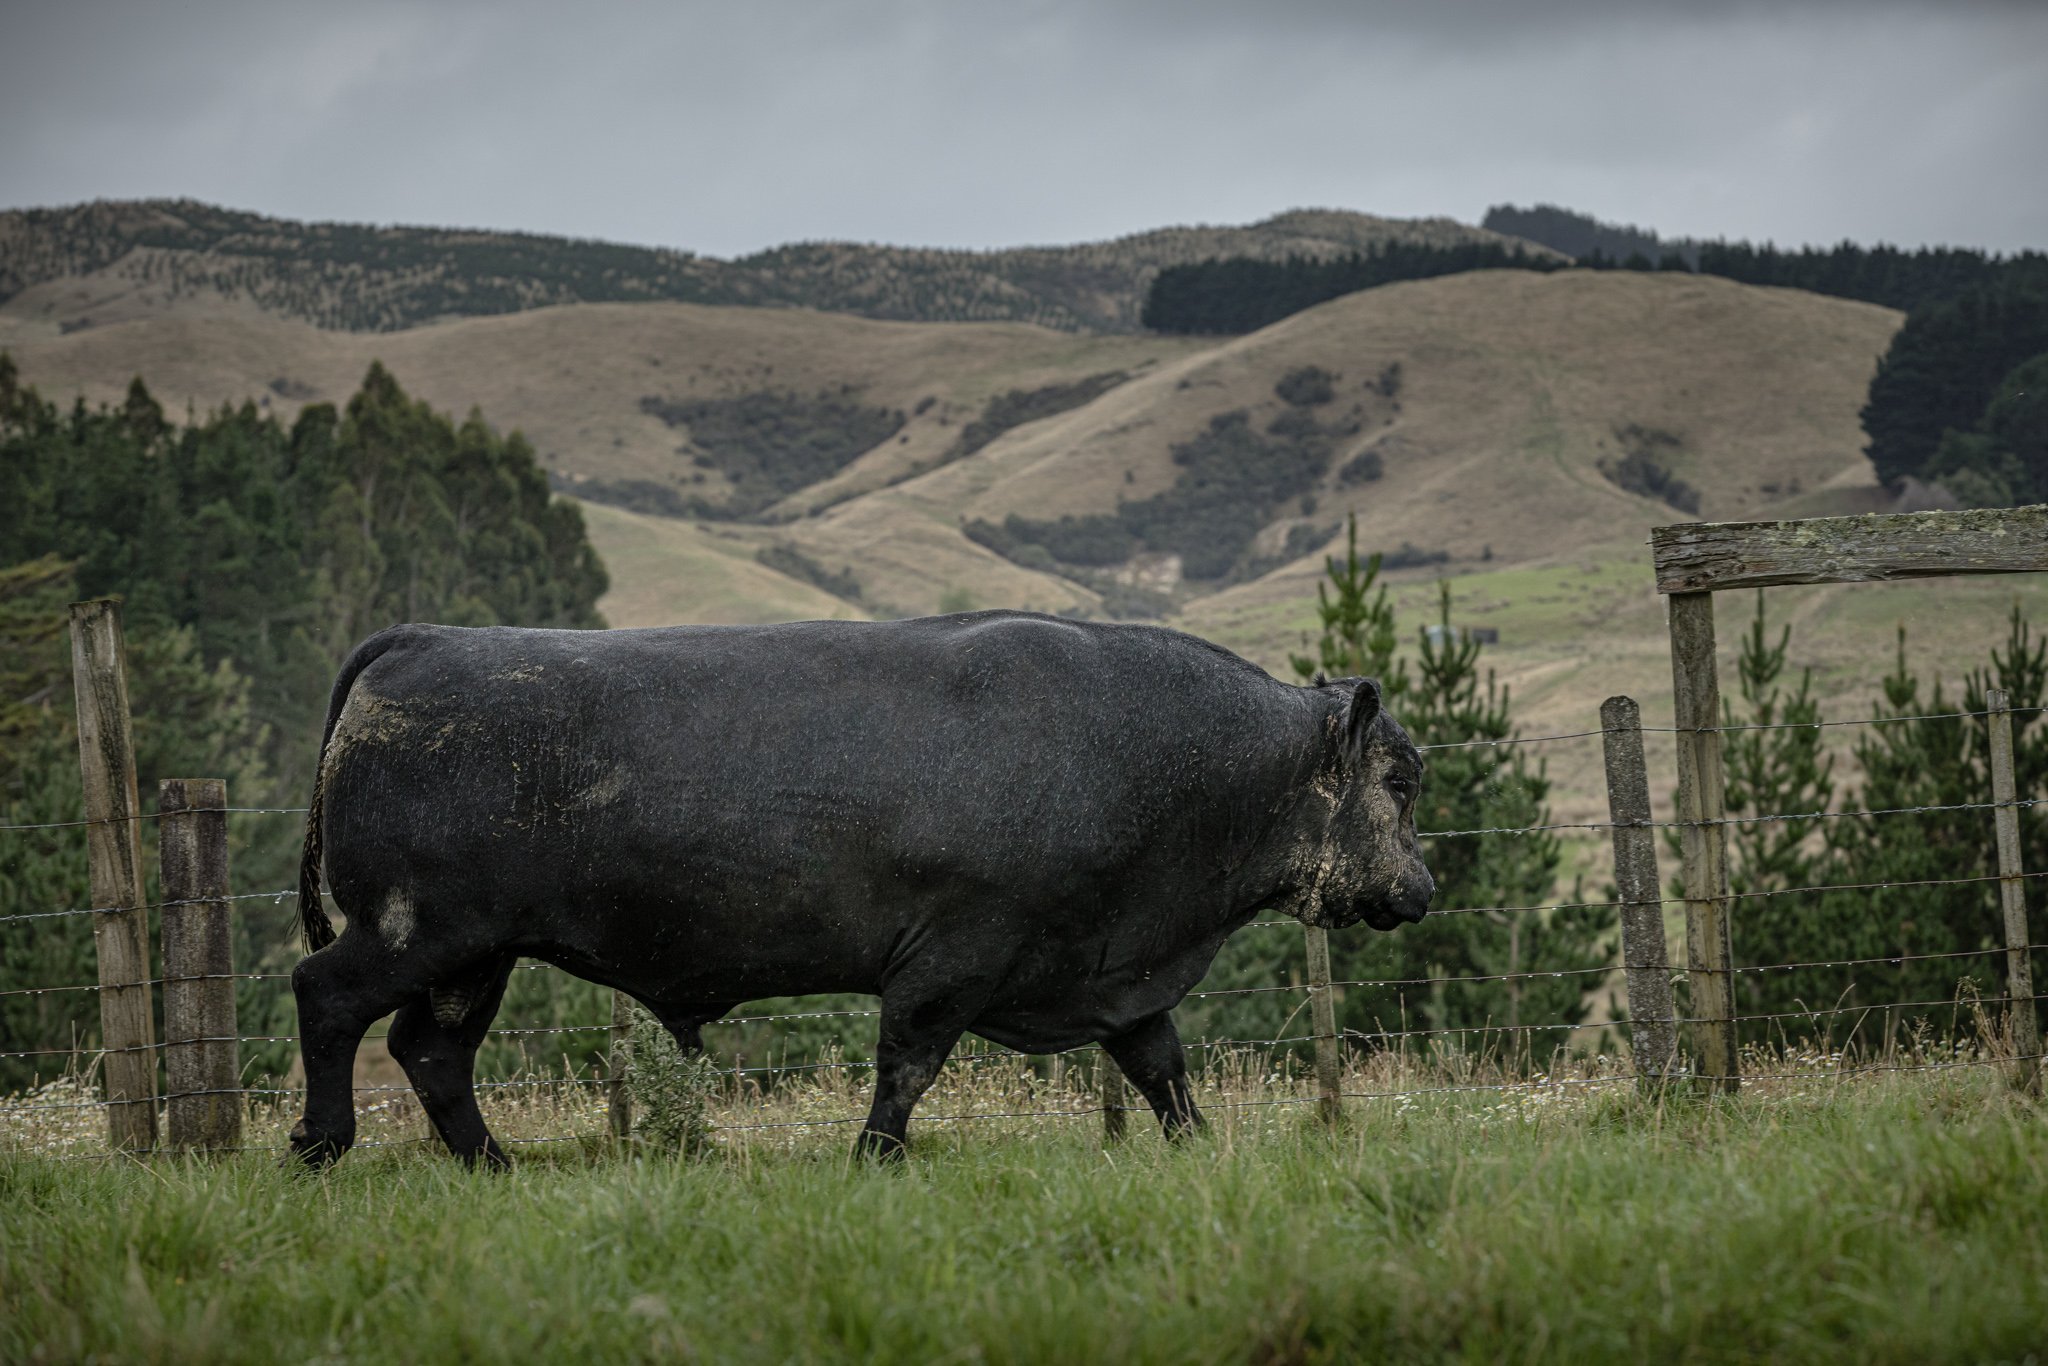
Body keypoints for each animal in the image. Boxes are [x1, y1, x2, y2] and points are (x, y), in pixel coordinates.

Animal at [287, 611, 1432, 1168]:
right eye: (1399, 779)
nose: (1421, 885)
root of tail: (420, 641)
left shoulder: (1114, 977)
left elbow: (1163, 1071)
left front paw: (1198, 1151)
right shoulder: (950, 959)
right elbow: (907, 1068)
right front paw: (872, 1159)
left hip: (472, 957)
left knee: (430, 1053)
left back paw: (496, 1167)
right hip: (411, 932)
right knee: (326, 998)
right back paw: (321, 1146)